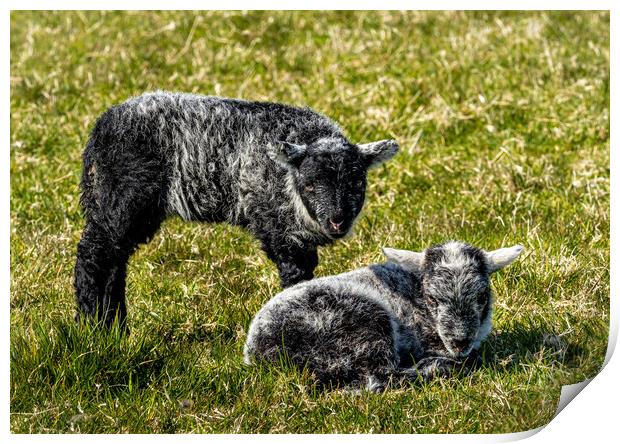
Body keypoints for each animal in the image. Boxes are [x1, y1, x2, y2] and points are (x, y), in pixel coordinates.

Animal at [75, 91, 400, 326]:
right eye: (309, 185)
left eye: (357, 183)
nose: (338, 221)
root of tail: (99, 130)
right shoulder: (278, 227)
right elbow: (296, 276)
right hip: (122, 197)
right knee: (94, 255)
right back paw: (92, 324)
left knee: (116, 261)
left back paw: (116, 325)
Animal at [242, 241, 524, 390]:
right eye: (433, 298)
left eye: (482, 296)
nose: (460, 341)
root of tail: (257, 352)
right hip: (360, 324)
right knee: (378, 378)